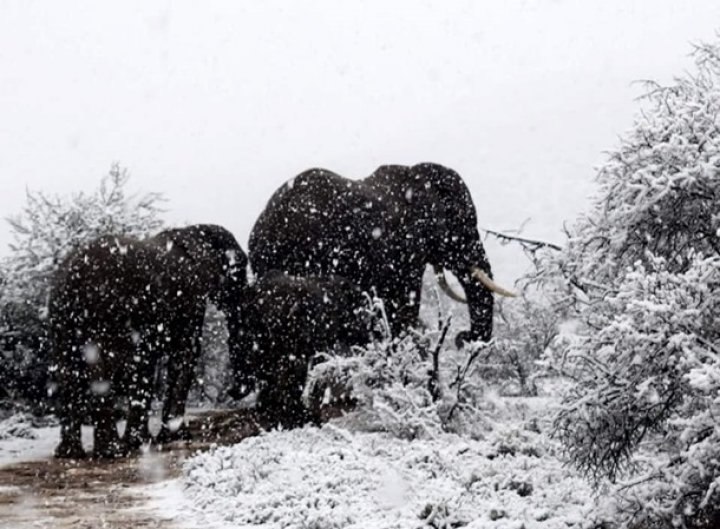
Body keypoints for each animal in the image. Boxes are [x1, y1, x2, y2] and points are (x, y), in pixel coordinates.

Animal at [49, 223, 248, 458]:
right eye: (240, 269)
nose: (232, 392)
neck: (192, 231)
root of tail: (72, 276)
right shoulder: (189, 299)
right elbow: (184, 354)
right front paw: (173, 437)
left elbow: (147, 365)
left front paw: (144, 440)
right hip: (105, 313)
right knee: (100, 370)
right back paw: (113, 452)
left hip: (62, 317)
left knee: (68, 371)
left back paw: (70, 454)